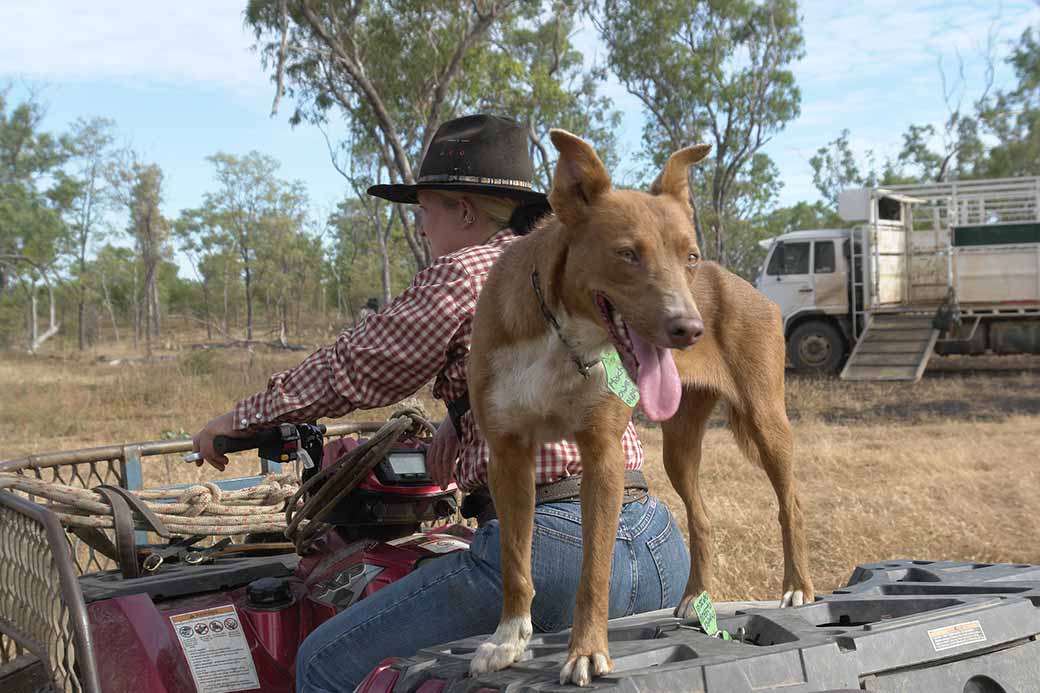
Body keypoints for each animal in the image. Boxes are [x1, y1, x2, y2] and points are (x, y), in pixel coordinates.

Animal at [467, 129, 815, 686]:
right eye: (628, 254)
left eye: (689, 257)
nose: (690, 330)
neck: (563, 336)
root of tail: (748, 287)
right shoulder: (508, 455)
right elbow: (515, 563)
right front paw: (508, 640)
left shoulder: (603, 455)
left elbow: (594, 573)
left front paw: (586, 651)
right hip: (678, 447)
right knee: (702, 517)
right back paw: (696, 597)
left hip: (767, 420)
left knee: (791, 505)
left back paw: (797, 586)